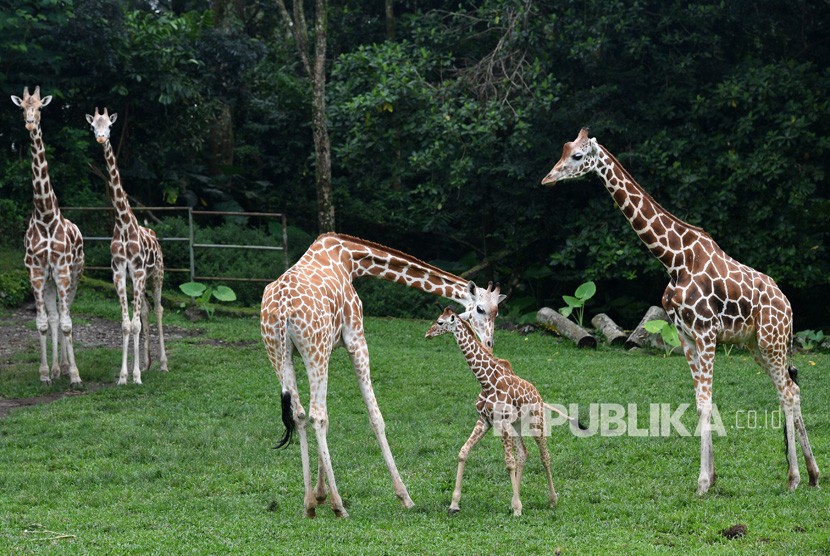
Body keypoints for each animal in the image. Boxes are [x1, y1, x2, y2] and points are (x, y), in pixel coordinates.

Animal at [86, 107, 167, 386]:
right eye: (93, 126)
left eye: (109, 126)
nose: (101, 138)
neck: (122, 224)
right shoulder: (119, 272)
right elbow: (126, 324)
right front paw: (125, 376)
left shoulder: (140, 272)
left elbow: (134, 324)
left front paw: (136, 377)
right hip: (137, 280)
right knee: (145, 311)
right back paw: (147, 363)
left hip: (157, 275)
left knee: (158, 309)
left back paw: (163, 364)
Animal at [260, 231, 508, 516]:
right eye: (480, 309)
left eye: (497, 311)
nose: (489, 344)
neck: (350, 258)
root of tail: (281, 311)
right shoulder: (355, 338)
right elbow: (375, 417)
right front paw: (404, 497)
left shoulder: (329, 347)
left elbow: (325, 416)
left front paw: (320, 495)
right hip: (313, 350)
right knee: (316, 416)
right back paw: (340, 506)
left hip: (280, 354)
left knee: (301, 415)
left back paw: (309, 505)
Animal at [428, 306, 564, 516]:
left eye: (440, 322)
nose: (428, 333)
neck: (486, 381)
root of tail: (538, 395)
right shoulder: (485, 421)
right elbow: (463, 452)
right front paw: (454, 504)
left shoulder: (501, 422)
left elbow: (509, 462)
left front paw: (517, 510)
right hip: (516, 425)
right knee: (523, 453)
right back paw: (515, 499)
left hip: (536, 422)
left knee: (545, 456)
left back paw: (552, 500)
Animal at [544, 127, 824, 496]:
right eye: (563, 150)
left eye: (577, 156)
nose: (548, 179)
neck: (673, 259)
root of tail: (788, 307)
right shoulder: (685, 335)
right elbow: (700, 402)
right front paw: (711, 477)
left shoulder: (706, 332)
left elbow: (705, 402)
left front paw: (703, 482)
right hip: (756, 347)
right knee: (792, 389)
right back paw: (813, 474)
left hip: (772, 341)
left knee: (788, 393)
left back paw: (793, 477)